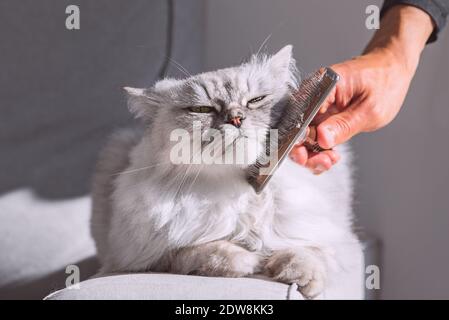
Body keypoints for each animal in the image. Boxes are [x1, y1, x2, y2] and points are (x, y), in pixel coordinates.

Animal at [90, 45, 360, 300]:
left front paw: (302, 279)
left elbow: (307, 252)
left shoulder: (328, 237)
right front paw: (253, 262)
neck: (241, 189)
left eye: (255, 100)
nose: (236, 118)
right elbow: (210, 252)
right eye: (202, 109)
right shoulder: (146, 257)